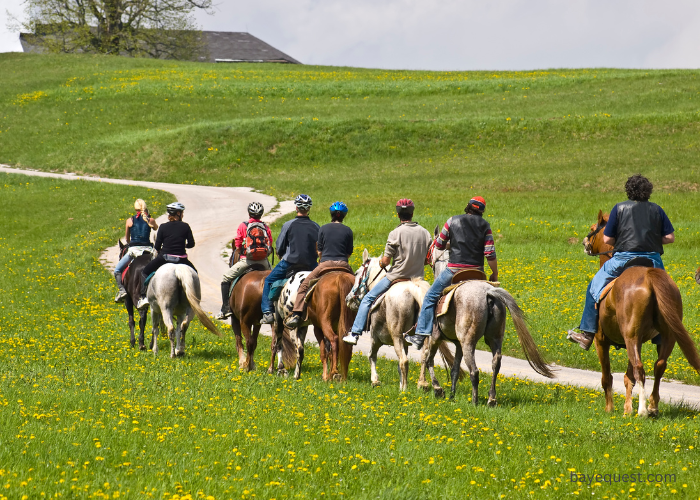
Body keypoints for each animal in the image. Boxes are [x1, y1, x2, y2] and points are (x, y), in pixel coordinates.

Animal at [348, 249, 462, 390]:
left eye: (357, 273)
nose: (348, 299)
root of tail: (413, 289)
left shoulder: (376, 338)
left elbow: (372, 356)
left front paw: (375, 380)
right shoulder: (405, 343)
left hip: (396, 335)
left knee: (404, 360)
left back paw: (404, 390)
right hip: (424, 335)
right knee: (424, 356)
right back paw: (422, 384)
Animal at [418, 229, 556, 402]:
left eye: (430, 247)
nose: (425, 259)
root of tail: (489, 292)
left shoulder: (436, 337)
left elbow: (429, 359)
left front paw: (437, 389)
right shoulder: (457, 344)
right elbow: (455, 369)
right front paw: (451, 395)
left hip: (468, 342)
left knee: (474, 371)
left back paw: (475, 401)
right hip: (494, 338)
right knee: (495, 364)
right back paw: (491, 399)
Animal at [584, 209, 700, 416]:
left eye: (592, 228)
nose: (585, 243)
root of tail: (649, 275)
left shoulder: (601, 340)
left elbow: (608, 377)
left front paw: (611, 409)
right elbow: (628, 377)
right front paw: (626, 409)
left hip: (631, 336)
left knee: (640, 368)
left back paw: (643, 410)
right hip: (666, 335)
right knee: (659, 365)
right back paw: (653, 406)